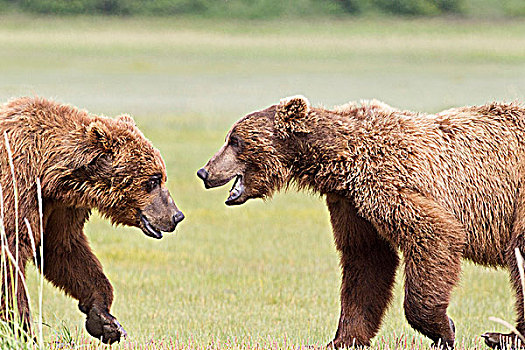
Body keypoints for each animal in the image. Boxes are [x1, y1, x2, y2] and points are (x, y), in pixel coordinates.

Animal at [0, 97, 184, 344]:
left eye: (162, 176)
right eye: (153, 181)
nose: (176, 215)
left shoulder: (61, 206)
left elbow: (63, 247)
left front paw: (105, 321)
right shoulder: (18, 184)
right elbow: (11, 254)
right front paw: (21, 329)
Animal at [196, 94, 524, 348]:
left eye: (234, 140)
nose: (204, 171)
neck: (341, 160)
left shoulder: (388, 182)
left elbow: (433, 234)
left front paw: (444, 330)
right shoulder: (350, 205)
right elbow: (365, 261)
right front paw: (341, 340)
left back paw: (503, 336)